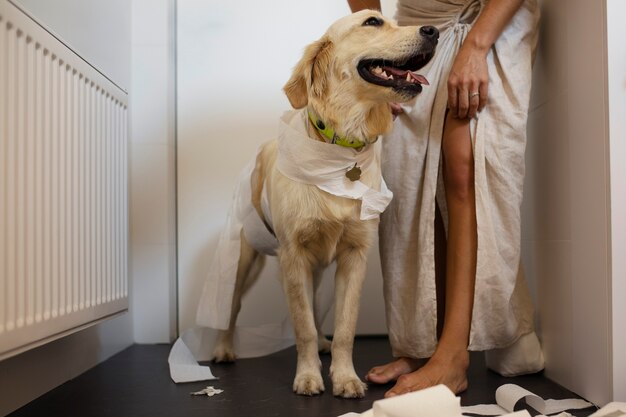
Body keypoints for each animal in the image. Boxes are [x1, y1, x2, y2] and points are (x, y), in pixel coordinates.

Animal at [210, 11, 434, 398]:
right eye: (373, 22)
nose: (433, 31)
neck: (340, 152)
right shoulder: (293, 254)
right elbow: (302, 327)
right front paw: (308, 376)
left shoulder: (355, 255)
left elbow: (344, 327)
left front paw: (344, 376)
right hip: (244, 258)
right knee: (231, 305)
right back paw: (224, 348)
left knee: (315, 309)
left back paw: (324, 346)